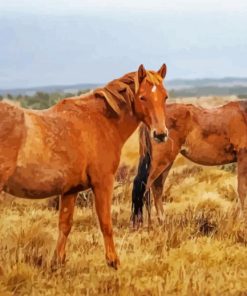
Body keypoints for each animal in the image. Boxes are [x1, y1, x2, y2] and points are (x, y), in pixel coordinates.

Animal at [0, 63, 168, 270]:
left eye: (165, 96)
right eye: (143, 97)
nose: (160, 134)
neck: (100, 121)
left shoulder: (70, 191)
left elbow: (65, 225)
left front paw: (57, 263)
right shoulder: (103, 183)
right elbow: (105, 222)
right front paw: (113, 262)